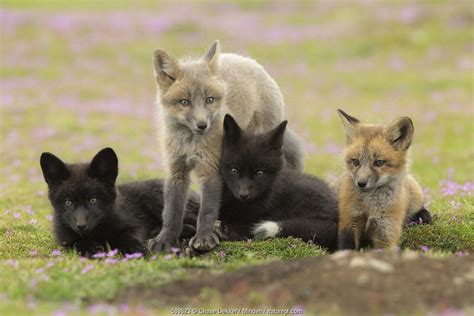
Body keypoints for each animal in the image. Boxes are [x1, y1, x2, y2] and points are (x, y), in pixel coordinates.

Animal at [147, 40, 304, 253]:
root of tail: (248, 60)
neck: (190, 144)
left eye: (209, 100)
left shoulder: (211, 168)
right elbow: (171, 210)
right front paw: (165, 239)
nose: (202, 125)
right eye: (184, 102)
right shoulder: (176, 169)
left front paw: (204, 238)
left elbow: (207, 209)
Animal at [336, 108, 432, 249]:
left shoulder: (386, 230)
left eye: (379, 163)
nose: (361, 183)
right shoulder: (349, 221)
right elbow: (346, 247)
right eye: (355, 161)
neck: (370, 206)